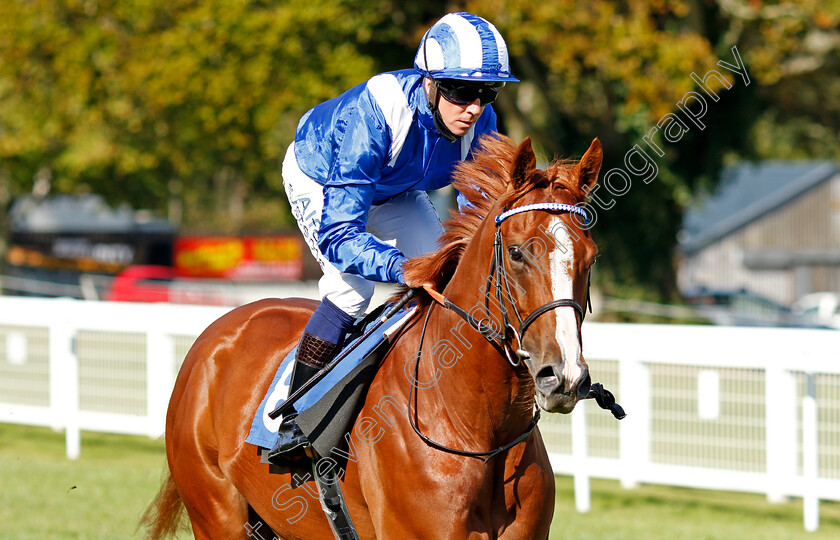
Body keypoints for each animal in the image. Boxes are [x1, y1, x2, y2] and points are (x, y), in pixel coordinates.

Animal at [144, 135, 604, 540]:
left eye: (590, 256)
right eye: (516, 252)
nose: (563, 376)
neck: (477, 428)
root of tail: (215, 334)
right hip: (217, 513)